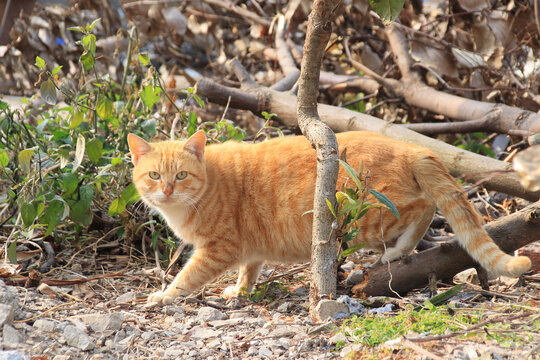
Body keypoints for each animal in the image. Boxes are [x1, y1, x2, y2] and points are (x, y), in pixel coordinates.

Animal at [127, 129, 532, 304]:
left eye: (181, 175)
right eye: (154, 176)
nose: (167, 191)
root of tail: (408, 145)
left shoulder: (218, 249)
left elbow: (187, 276)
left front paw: (163, 296)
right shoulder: (247, 250)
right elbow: (249, 270)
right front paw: (240, 290)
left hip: (366, 216)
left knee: (424, 208)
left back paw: (398, 251)